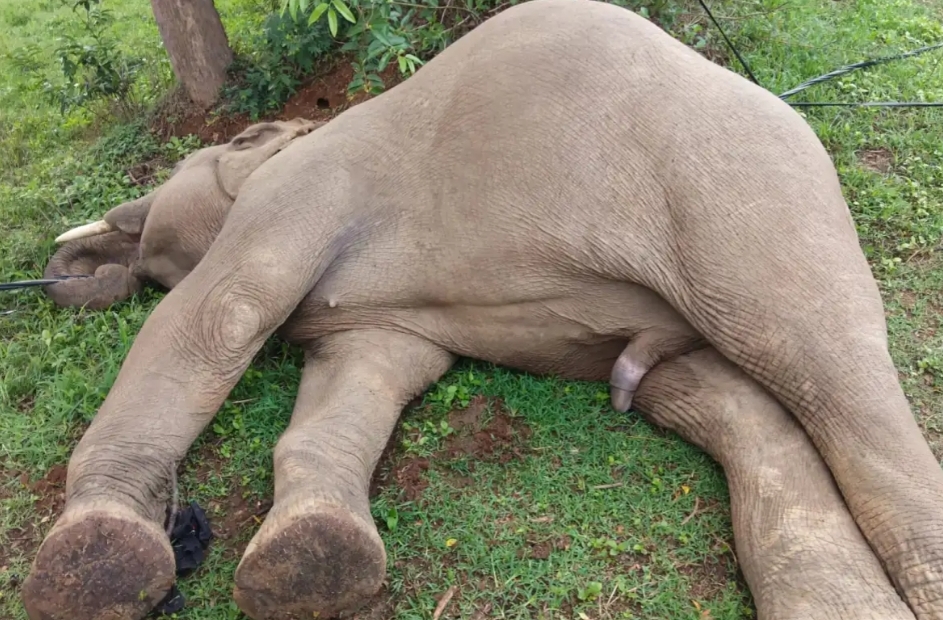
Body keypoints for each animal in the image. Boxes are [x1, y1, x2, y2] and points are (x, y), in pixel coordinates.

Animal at [20, 0, 943, 618]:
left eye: (192, 165)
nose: (69, 269)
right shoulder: (375, 326)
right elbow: (356, 386)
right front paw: (313, 568)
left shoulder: (299, 190)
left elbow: (221, 313)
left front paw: (93, 567)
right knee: (723, 400)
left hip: (749, 209)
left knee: (830, 382)